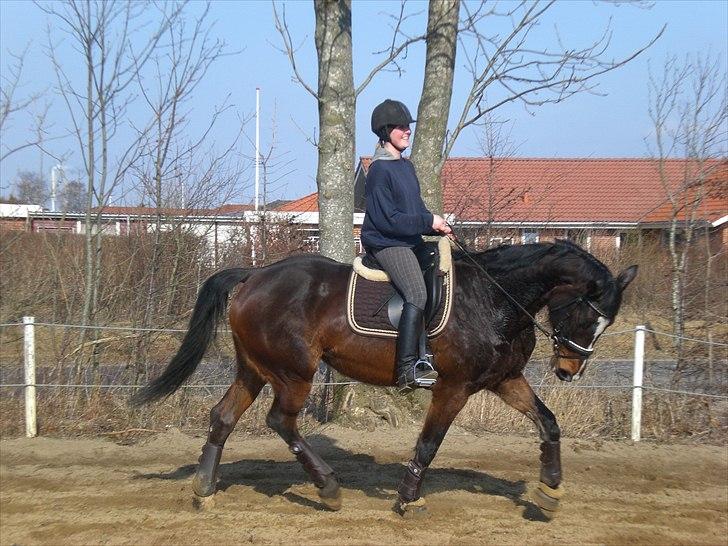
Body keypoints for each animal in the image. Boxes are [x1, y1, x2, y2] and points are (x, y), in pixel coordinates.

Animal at [132, 238, 636, 516]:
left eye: (605, 323)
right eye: (586, 315)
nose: (569, 370)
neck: (495, 298)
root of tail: (255, 275)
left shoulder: (504, 379)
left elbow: (548, 422)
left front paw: (550, 490)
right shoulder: (453, 387)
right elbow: (428, 444)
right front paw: (409, 499)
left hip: (255, 369)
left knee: (223, 417)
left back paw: (204, 491)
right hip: (294, 372)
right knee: (281, 421)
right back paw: (328, 488)